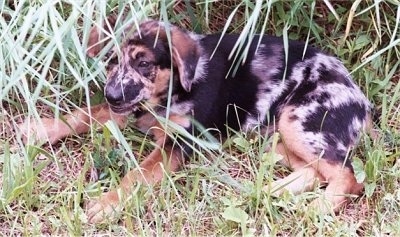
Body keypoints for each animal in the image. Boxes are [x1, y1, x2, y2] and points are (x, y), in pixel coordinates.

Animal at [21, 19, 372, 223]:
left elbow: (137, 174)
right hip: (278, 138)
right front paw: (42, 128)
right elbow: (86, 113)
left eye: (144, 64)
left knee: (348, 176)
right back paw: (268, 190)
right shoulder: (130, 109)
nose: (112, 96)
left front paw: (108, 203)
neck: (172, 88)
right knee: (314, 170)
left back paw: (317, 208)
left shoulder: (178, 143)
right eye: (110, 60)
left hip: (299, 120)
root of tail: (360, 99)